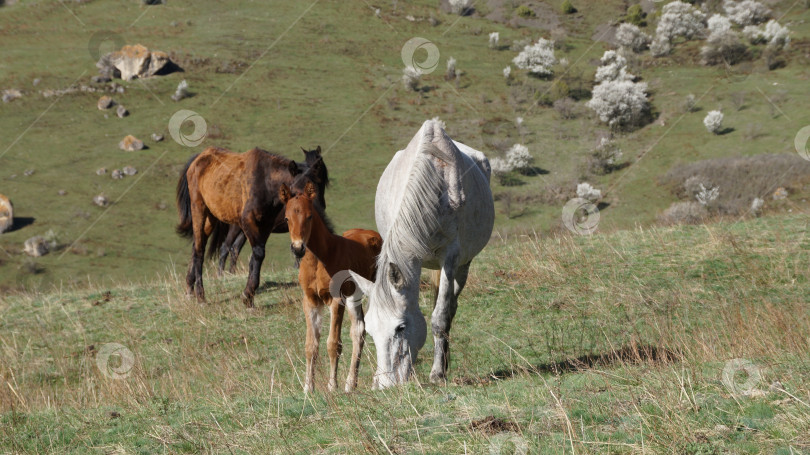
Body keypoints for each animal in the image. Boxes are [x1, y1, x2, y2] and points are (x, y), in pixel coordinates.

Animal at [177, 148, 326, 308]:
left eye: (314, 188)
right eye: (295, 192)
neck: (266, 183)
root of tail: (199, 158)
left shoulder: (266, 226)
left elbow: (255, 258)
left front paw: (248, 297)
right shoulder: (247, 222)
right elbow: (258, 253)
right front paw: (247, 295)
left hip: (211, 216)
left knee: (197, 245)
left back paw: (189, 288)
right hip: (199, 209)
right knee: (199, 249)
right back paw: (200, 296)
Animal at [280, 182, 384, 392]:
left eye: (309, 216)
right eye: (287, 218)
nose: (298, 248)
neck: (320, 259)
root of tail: (373, 234)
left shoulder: (336, 300)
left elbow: (333, 343)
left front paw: (332, 386)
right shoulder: (310, 300)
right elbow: (311, 345)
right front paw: (308, 388)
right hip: (354, 295)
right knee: (359, 330)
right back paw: (350, 384)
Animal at [348, 118, 492, 388]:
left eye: (400, 328)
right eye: (371, 330)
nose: (385, 385)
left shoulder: (451, 258)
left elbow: (440, 318)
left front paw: (437, 373)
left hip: (464, 265)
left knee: (449, 308)